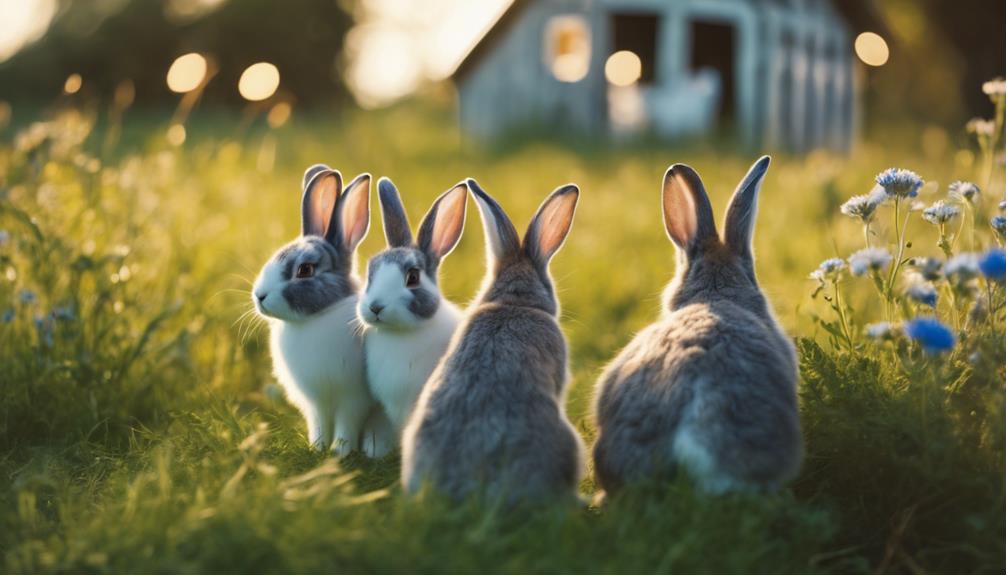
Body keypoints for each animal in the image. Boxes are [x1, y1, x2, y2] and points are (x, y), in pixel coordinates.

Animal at [253, 165, 389, 457]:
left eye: (305, 270)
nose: (259, 296)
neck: (316, 318)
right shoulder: (315, 404)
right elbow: (318, 424)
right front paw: (317, 449)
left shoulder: (352, 399)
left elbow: (346, 424)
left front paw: (340, 451)